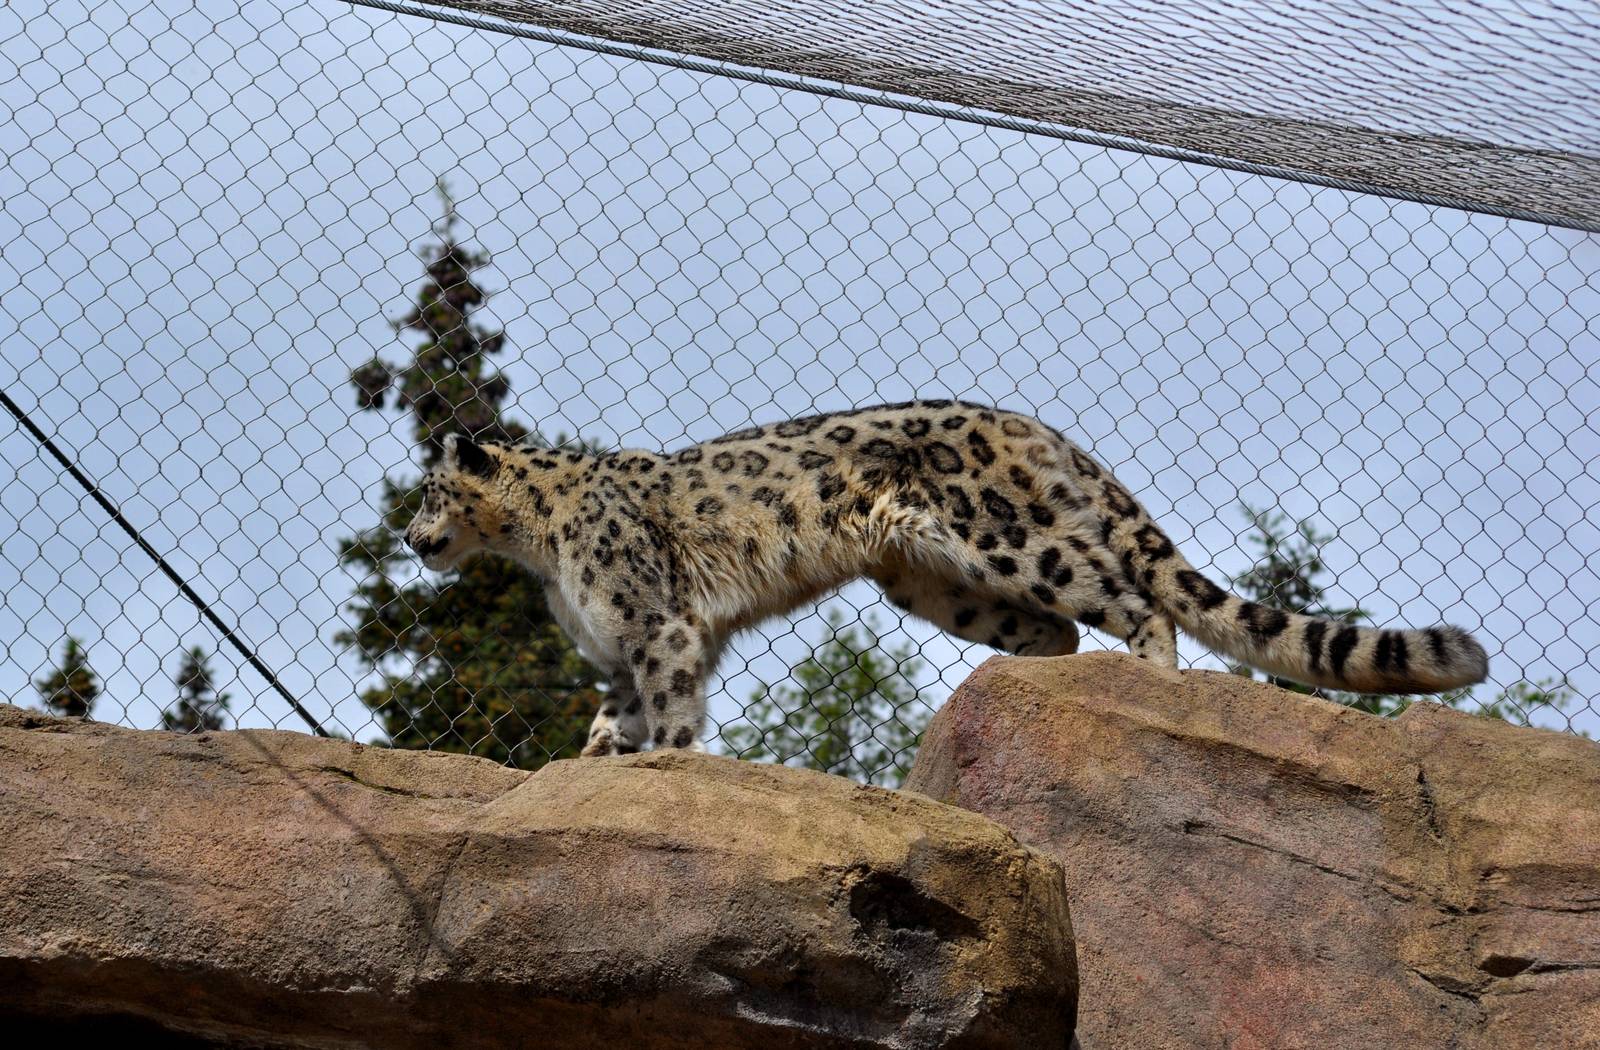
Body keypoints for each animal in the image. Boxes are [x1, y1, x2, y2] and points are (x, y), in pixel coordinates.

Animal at [403, 400, 1489, 757]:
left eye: (427, 491)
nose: (412, 538)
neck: (538, 552)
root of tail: (1037, 428)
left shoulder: (658, 626)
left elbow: (667, 712)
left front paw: (661, 770)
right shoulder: (624, 650)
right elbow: (609, 718)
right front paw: (582, 773)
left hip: (1007, 541)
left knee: (1128, 597)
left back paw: (1148, 683)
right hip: (934, 584)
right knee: (1056, 630)